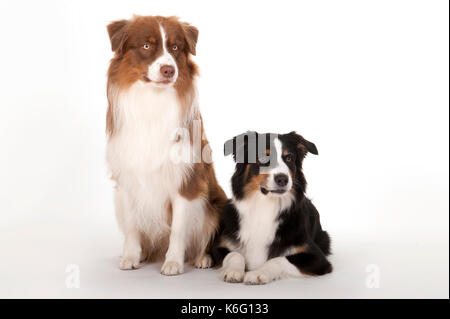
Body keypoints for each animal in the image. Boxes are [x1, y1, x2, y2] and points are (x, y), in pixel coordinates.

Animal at [104, 15, 225, 276]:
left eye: (175, 47)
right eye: (146, 46)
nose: (169, 70)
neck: (152, 100)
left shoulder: (185, 181)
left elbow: (178, 229)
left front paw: (173, 263)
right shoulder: (126, 180)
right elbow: (132, 226)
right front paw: (130, 256)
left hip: (216, 203)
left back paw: (202, 258)